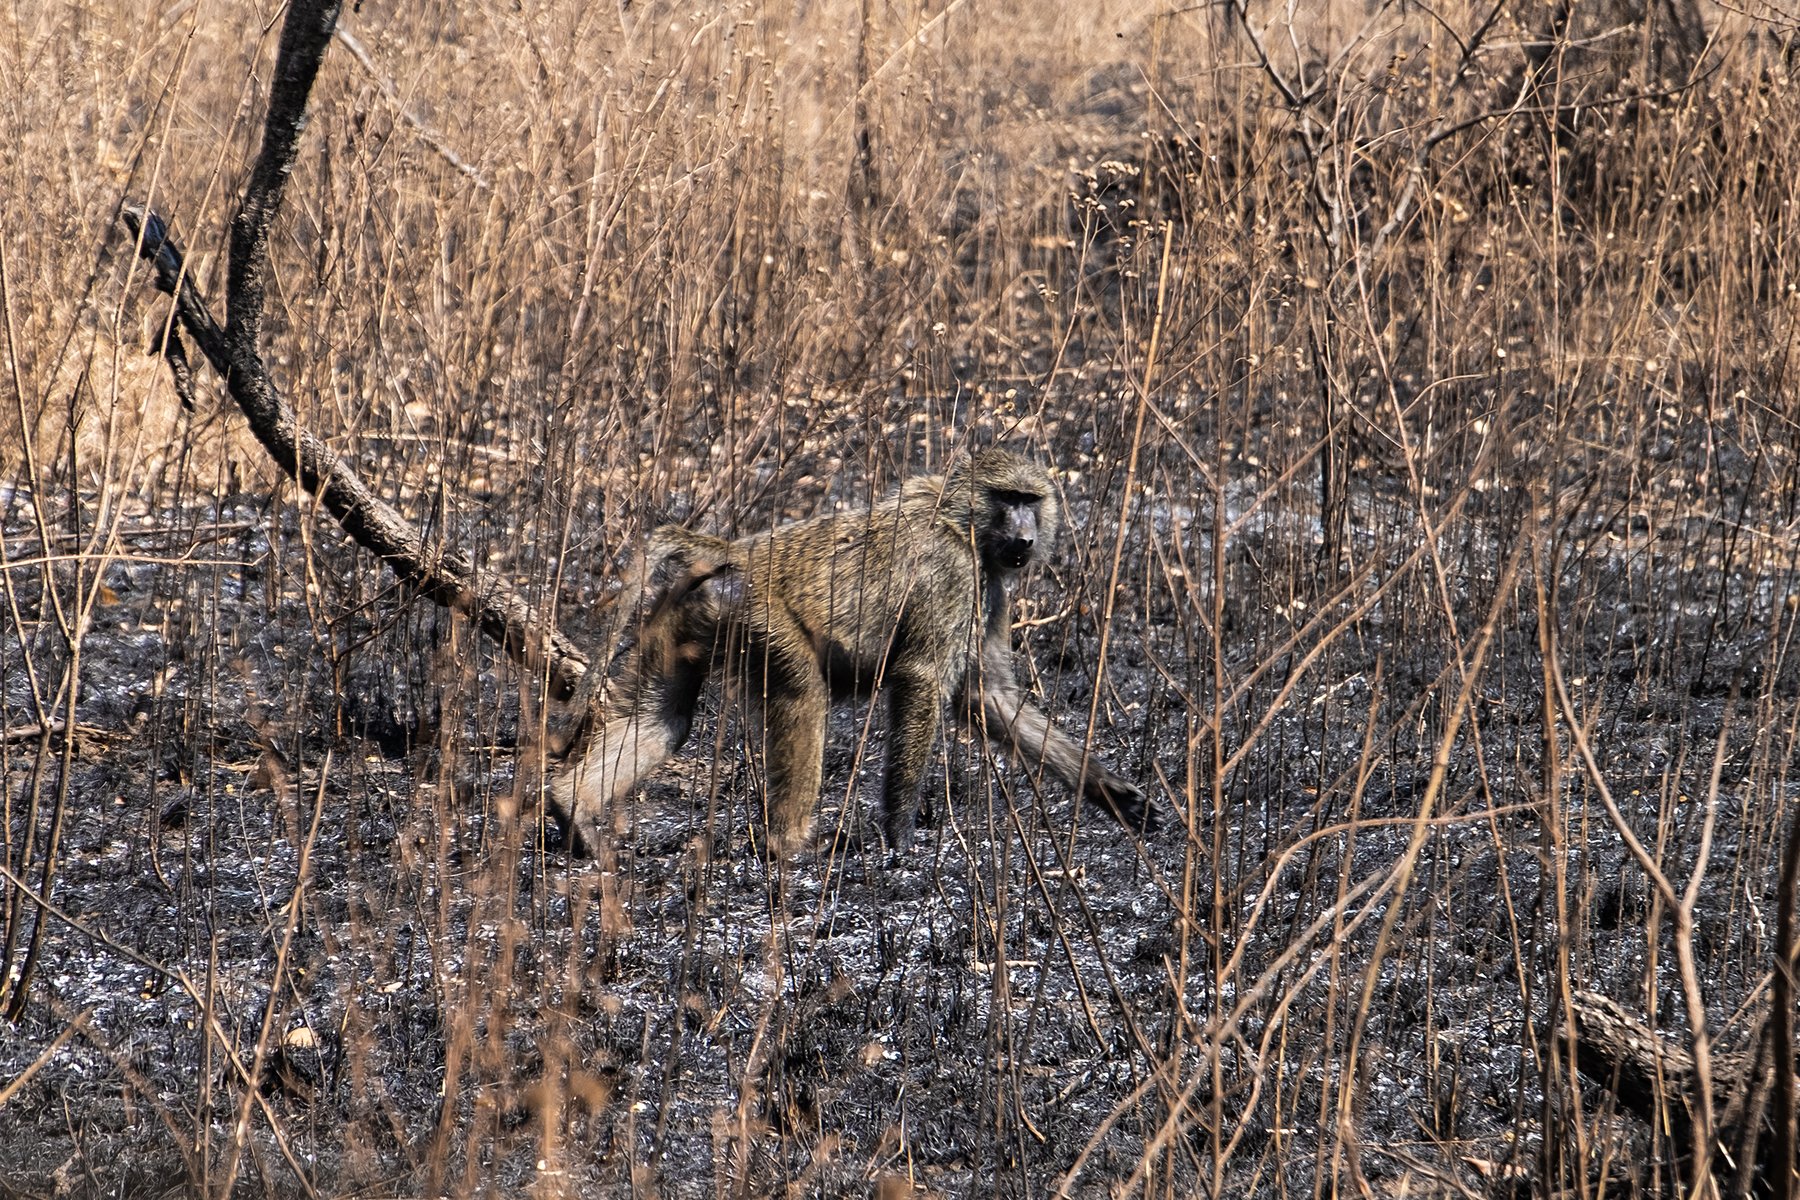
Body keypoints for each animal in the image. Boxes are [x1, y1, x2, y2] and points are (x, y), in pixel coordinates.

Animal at [549, 449, 1151, 857]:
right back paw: (788, 844)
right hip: (756, 613)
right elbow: (923, 678)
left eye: (1031, 500)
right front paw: (899, 836)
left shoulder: (992, 587)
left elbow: (990, 698)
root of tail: (730, 551)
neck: (960, 521)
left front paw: (1110, 791)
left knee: (662, 722)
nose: (1025, 538)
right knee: (804, 695)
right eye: (1009, 499)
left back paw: (570, 806)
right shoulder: (954, 575)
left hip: (685, 614)